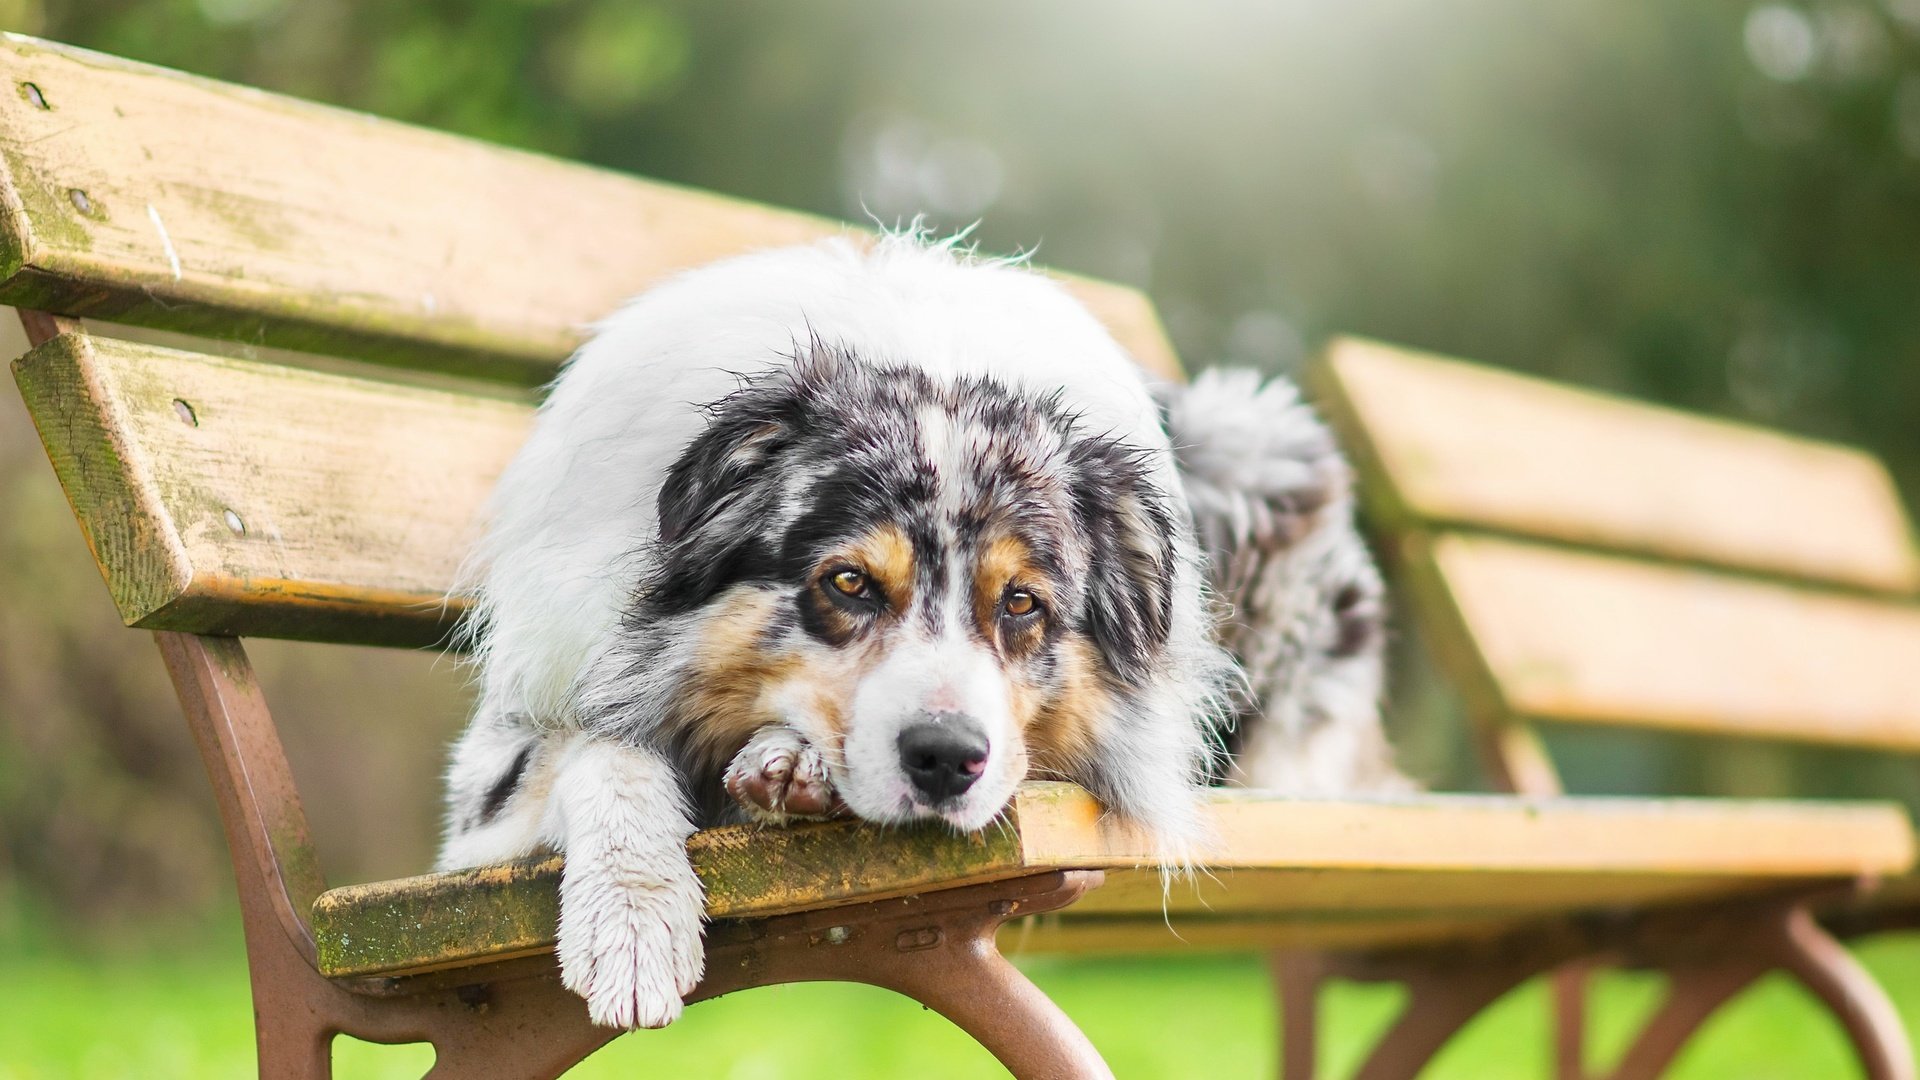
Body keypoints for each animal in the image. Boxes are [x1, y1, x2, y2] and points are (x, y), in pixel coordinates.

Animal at [435, 231, 1397, 1022]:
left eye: (1022, 604)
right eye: (850, 584)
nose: (945, 759)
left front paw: (785, 764)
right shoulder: (497, 774)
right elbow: (605, 755)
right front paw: (632, 924)